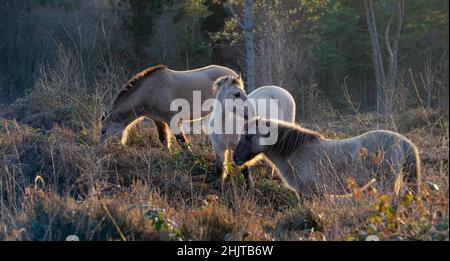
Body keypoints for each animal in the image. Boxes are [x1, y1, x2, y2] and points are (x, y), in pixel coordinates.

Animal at [100, 64, 237, 150]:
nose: (101, 149)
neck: (150, 91)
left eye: (103, 131)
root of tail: (234, 75)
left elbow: (182, 142)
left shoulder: (173, 119)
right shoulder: (159, 120)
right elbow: (164, 140)